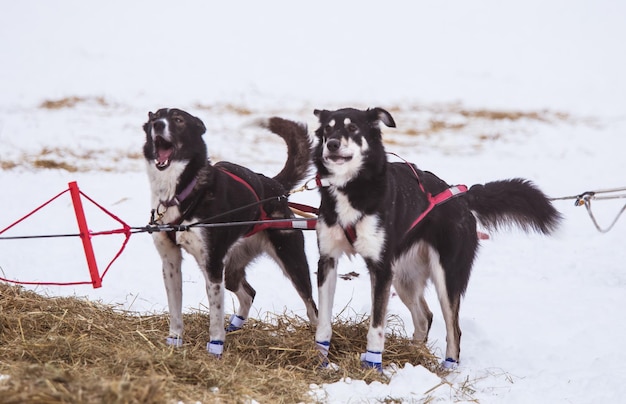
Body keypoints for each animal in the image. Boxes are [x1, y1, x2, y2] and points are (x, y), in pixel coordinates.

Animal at [142, 108, 316, 356]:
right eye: (155, 117)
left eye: (178, 120)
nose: (157, 124)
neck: (180, 192)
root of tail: (276, 188)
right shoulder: (171, 262)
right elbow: (175, 310)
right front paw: (174, 341)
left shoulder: (213, 266)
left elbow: (215, 314)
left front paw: (215, 348)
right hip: (231, 271)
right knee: (249, 293)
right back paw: (235, 325)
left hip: (292, 262)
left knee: (312, 306)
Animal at [312, 106, 560, 370]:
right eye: (327, 129)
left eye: (352, 128)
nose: (332, 144)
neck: (351, 189)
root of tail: (460, 197)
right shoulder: (328, 260)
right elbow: (323, 323)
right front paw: (321, 361)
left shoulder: (380, 268)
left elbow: (376, 328)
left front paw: (373, 366)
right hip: (402, 279)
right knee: (424, 318)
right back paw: (414, 354)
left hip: (445, 277)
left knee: (454, 330)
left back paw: (449, 367)